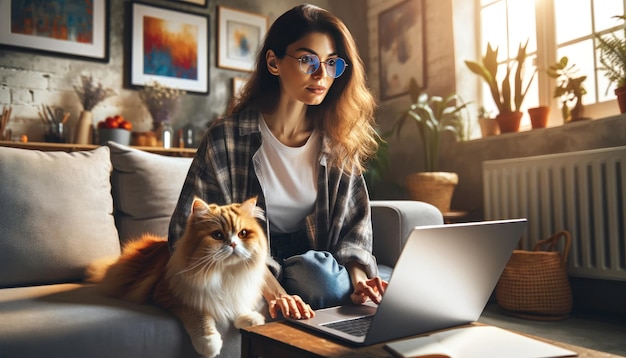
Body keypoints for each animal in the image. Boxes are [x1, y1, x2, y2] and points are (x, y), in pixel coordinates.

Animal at [85, 197, 266, 356]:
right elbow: (198, 313)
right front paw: (208, 342)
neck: (224, 273)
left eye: (242, 233)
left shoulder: (237, 290)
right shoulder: (169, 294)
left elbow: (237, 304)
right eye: (218, 236)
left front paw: (250, 319)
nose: (233, 244)